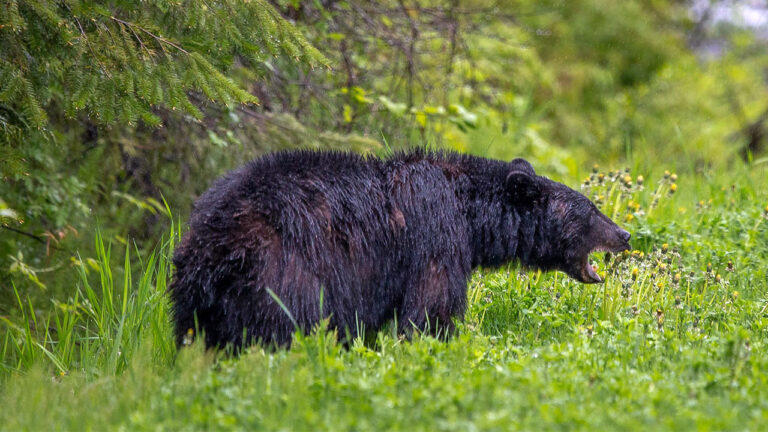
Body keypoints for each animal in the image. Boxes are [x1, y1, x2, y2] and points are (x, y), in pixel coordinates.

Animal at [169, 150, 631, 348]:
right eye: (592, 209)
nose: (625, 234)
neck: (468, 210)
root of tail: (215, 249)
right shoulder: (435, 233)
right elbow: (431, 305)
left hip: (194, 299)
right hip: (282, 274)